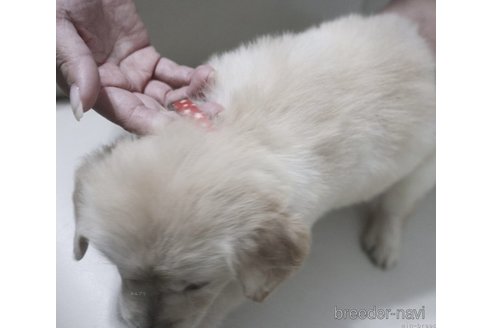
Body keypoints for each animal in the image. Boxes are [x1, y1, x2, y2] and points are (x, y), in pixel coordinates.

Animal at [72, 13, 434, 328]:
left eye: (195, 285)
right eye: (123, 271)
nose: (149, 326)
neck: (231, 136)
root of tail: (419, 45)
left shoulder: (242, 276)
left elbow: (222, 301)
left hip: (421, 168)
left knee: (396, 205)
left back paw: (385, 242)